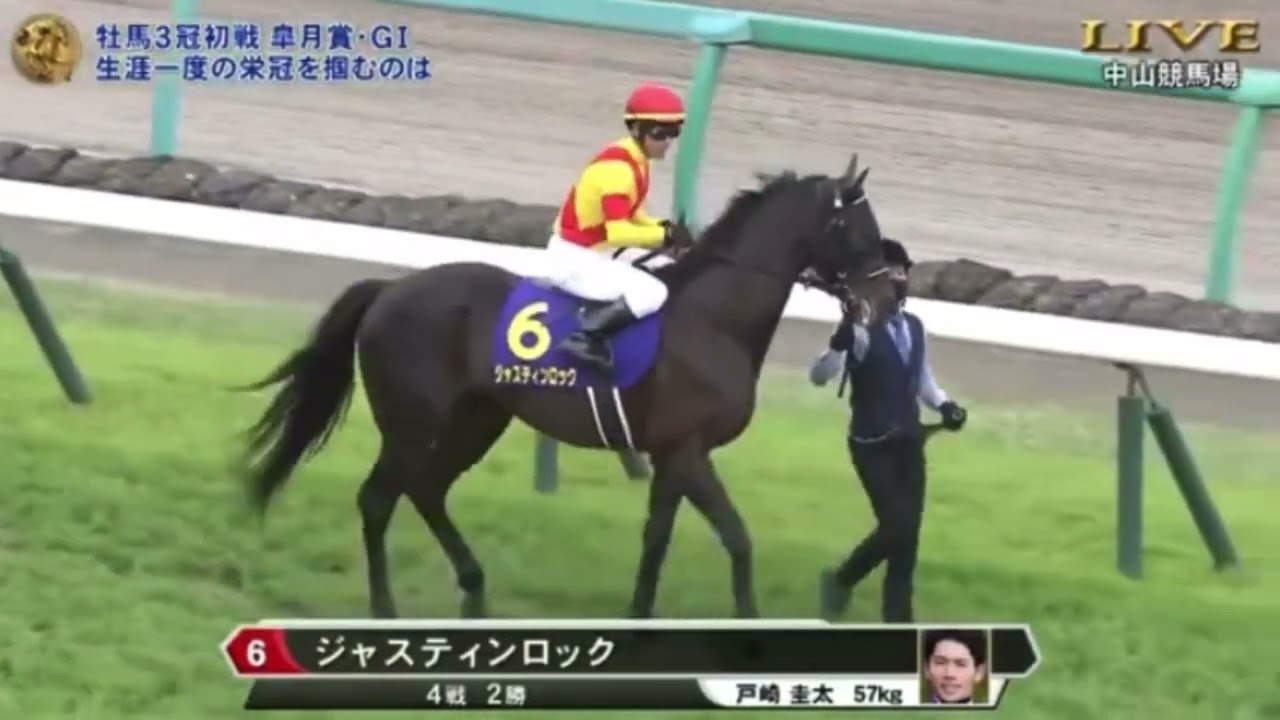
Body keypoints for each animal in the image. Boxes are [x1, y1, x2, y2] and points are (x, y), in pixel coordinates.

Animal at [239, 153, 898, 620]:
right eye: (857, 225)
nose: (887, 290)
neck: (713, 320)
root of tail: (389, 289)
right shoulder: (688, 448)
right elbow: (734, 536)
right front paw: (748, 623)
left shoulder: (672, 455)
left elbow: (661, 537)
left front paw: (640, 616)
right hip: (411, 421)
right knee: (379, 498)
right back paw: (385, 608)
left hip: (477, 418)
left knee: (427, 489)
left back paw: (475, 591)